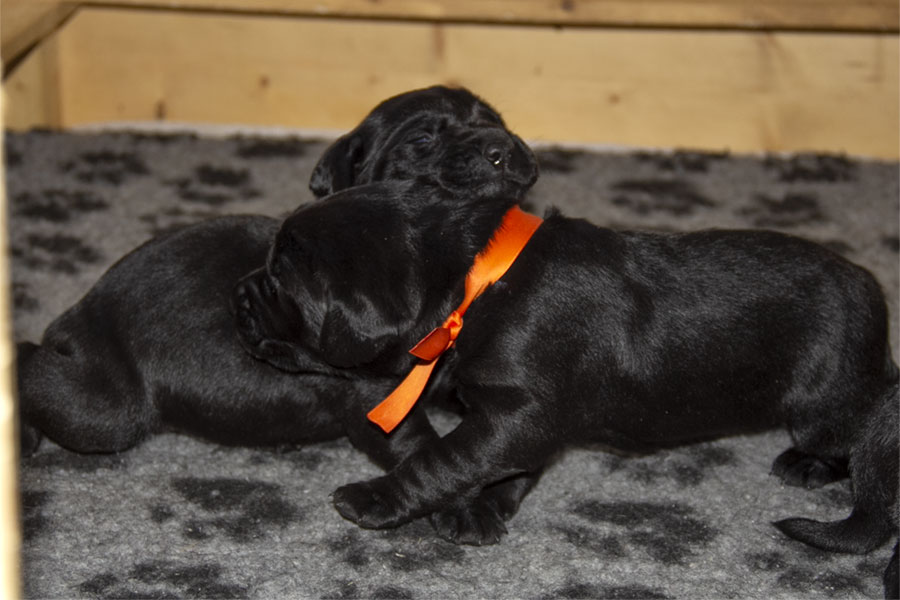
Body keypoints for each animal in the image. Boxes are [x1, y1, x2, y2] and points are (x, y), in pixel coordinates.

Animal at [237, 177, 898, 592]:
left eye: (279, 281)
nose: (239, 293)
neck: (473, 282)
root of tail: (874, 298)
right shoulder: (523, 418)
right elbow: (498, 464)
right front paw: (482, 510)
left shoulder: (518, 411)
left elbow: (445, 458)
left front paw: (374, 501)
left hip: (824, 396)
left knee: (848, 431)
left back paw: (806, 464)